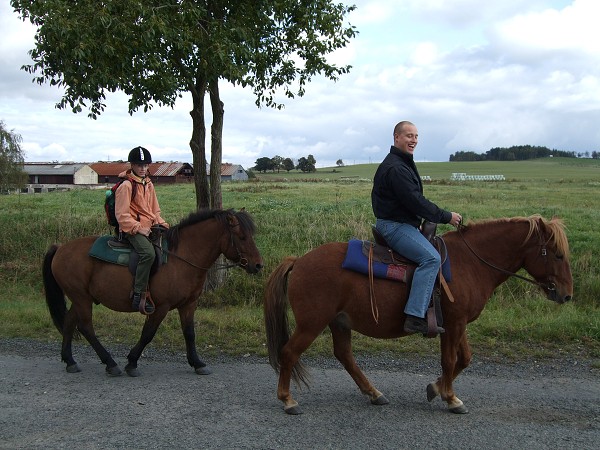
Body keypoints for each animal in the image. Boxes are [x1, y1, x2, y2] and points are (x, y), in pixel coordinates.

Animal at [44, 208, 262, 376]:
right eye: (242, 237)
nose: (258, 265)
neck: (181, 258)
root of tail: (60, 248)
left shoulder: (188, 305)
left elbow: (189, 333)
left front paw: (198, 363)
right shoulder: (160, 307)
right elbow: (148, 333)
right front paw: (132, 362)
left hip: (80, 297)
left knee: (69, 322)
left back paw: (70, 361)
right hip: (81, 298)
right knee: (86, 328)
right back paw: (110, 363)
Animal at [264, 214, 576, 414]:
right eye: (557, 254)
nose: (566, 294)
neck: (471, 262)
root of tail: (299, 261)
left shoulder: (457, 324)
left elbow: (464, 359)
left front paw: (435, 389)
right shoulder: (454, 324)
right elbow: (449, 360)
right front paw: (450, 398)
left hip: (339, 322)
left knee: (345, 356)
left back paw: (374, 393)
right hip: (311, 324)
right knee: (289, 353)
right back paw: (287, 400)